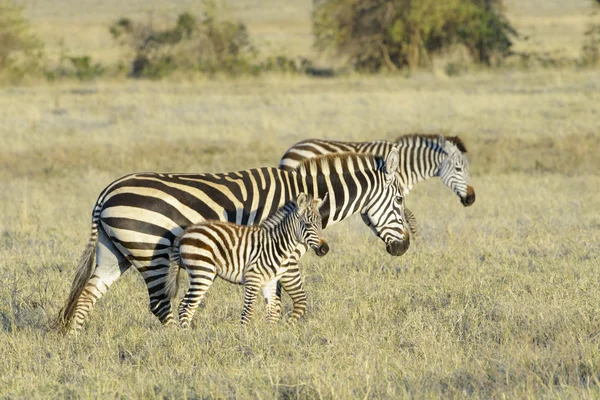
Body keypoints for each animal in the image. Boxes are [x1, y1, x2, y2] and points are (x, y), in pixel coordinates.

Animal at [168, 192, 328, 326]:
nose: (324, 249)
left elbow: (271, 313)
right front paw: (244, 337)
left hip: (204, 274)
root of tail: (186, 232)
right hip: (202, 272)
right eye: (307, 225)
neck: (277, 245)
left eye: (321, 224)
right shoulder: (253, 279)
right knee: (186, 307)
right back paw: (186, 336)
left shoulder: (269, 282)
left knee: (185, 305)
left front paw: (270, 337)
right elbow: (248, 313)